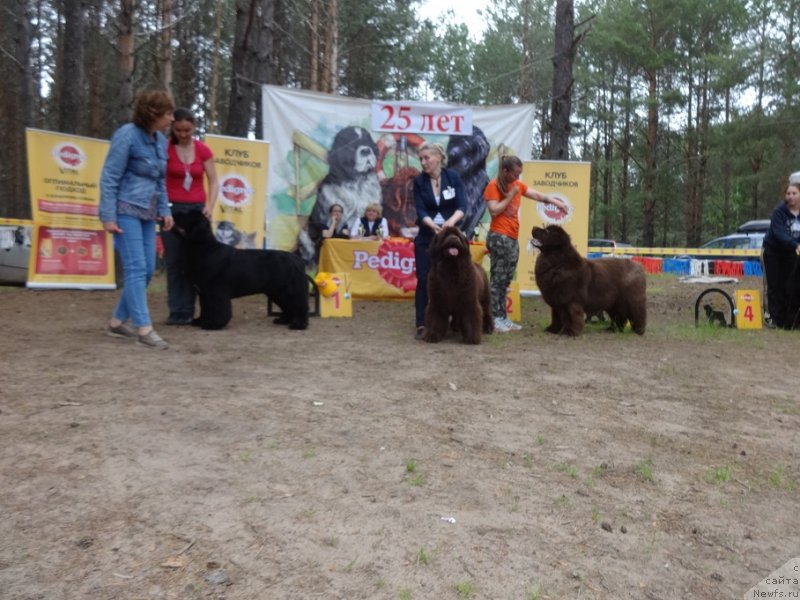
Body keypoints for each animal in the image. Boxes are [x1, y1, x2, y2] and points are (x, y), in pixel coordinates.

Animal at [173, 211, 310, 330]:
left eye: (187, 215)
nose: (174, 213)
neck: (203, 247)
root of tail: (296, 258)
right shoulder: (204, 292)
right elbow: (205, 308)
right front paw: (200, 321)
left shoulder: (216, 290)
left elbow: (218, 309)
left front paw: (213, 324)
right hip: (276, 292)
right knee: (288, 306)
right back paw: (283, 320)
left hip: (290, 289)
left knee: (299, 306)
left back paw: (298, 325)